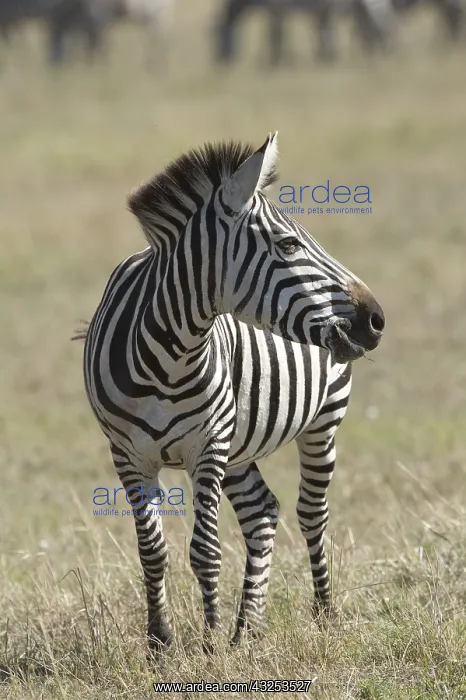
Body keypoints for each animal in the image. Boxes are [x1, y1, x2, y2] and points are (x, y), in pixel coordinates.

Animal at [79, 133, 384, 653]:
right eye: (288, 244)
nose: (376, 319)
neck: (168, 358)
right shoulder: (128, 455)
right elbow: (151, 550)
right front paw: (161, 643)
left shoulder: (207, 447)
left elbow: (205, 550)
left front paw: (208, 643)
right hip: (240, 446)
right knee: (262, 513)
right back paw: (248, 630)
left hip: (320, 423)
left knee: (311, 514)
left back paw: (323, 616)